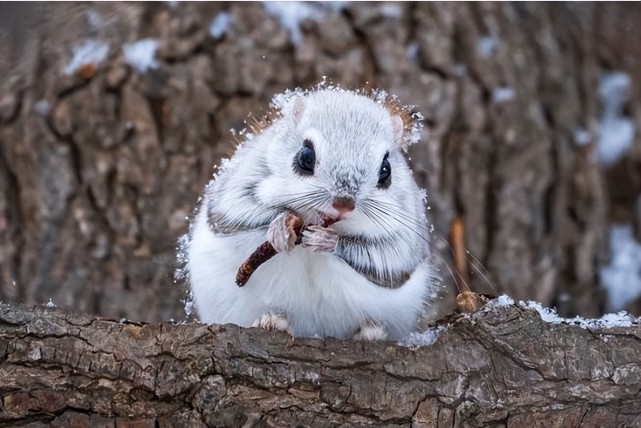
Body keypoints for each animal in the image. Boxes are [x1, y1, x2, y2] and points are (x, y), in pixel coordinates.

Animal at [181, 84, 440, 342]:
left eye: (386, 171)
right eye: (305, 156)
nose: (344, 203)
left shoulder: (407, 230)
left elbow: (387, 255)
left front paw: (326, 240)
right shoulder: (237, 186)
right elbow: (241, 211)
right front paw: (280, 227)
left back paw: (371, 332)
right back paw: (272, 321)